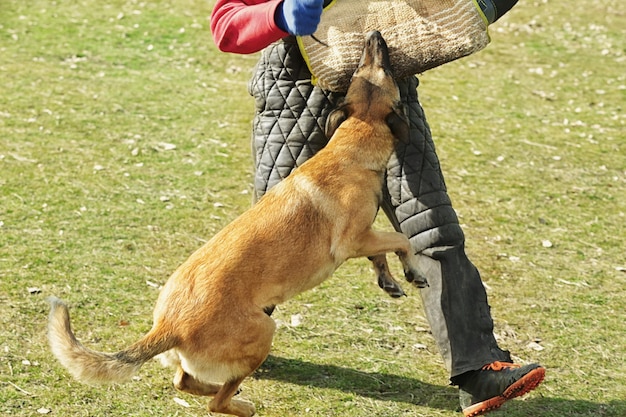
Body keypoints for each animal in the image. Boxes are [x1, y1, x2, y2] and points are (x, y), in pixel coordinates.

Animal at [48, 30, 426, 414]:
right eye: (381, 70)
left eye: (363, 69)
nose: (374, 36)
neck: (352, 143)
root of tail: (168, 325)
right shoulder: (354, 239)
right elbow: (402, 240)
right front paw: (413, 273)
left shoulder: (365, 235)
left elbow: (381, 252)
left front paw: (389, 280)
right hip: (263, 331)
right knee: (216, 400)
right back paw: (242, 405)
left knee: (183, 381)